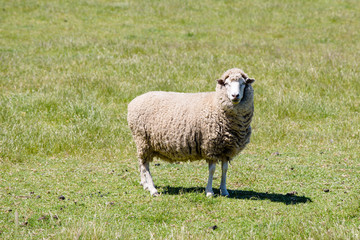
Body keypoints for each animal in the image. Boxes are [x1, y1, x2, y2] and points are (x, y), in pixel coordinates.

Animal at [128, 68, 255, 197]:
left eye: (243, 83)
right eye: (227, 84)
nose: (235, 95)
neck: (216, 105)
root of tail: (133, 101)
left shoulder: (226, 148)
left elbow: (224, 169)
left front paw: (224, 190)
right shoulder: (211, 146)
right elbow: (212, 169)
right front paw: (209, 191)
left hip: (143, 142)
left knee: (141, 162)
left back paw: (145, 184)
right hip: (143, 140)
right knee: (145, 165)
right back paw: (152, 189)